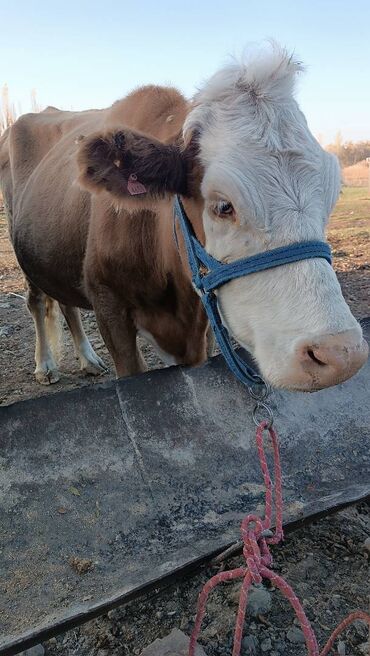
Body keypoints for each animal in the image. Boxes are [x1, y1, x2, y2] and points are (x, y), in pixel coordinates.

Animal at [0, 47, 368, 394]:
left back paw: (88, 359)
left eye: (331, 197)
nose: (340, 354)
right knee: (37, 301)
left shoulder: (202, 324)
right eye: (223, 206)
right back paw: (46, 365)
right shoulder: (109, 305)